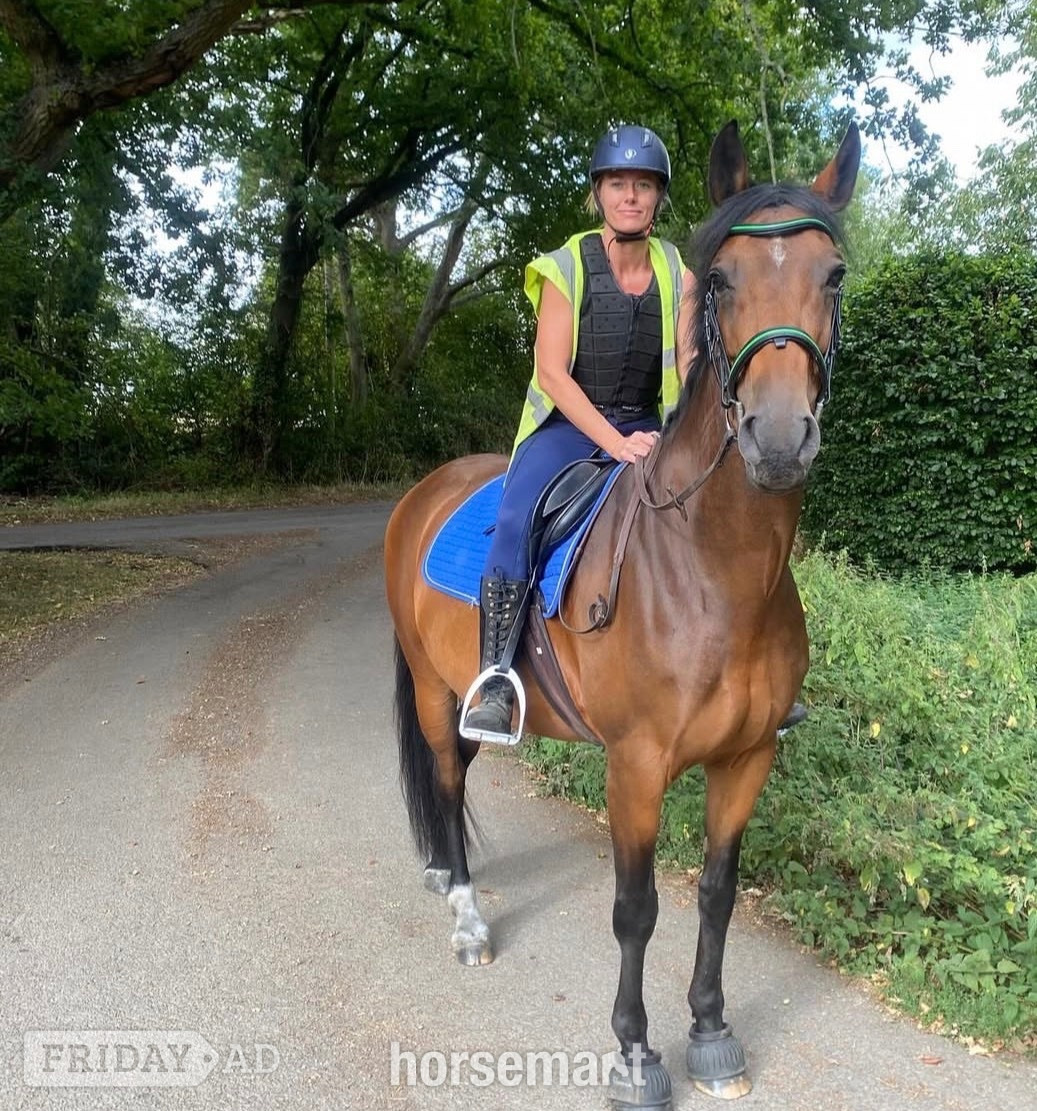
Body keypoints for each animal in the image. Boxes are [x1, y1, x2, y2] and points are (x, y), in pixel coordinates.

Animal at [384, 120, 860, 1107]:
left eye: (832, 275)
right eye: (720, 279)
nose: (778, 438)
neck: (712, 574)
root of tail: (424, 492)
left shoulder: (746, 759)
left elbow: (715, 890)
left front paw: (711, 1031)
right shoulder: (635, 767)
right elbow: (635, 910)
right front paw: (636, 1054)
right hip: (435, 692)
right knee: (444, 784)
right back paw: (466, 915)